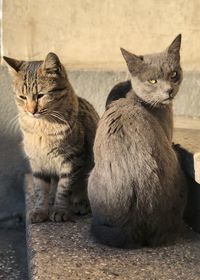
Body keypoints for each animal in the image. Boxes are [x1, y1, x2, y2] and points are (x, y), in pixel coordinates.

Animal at [3, 52, 99, 223]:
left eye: (41, 95)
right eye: (22, 97)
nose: (31, 111)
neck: (41, 128)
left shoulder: (72, 159)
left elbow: (64, 188)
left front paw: (60, 210)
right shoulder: (37, 163)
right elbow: (41, 190)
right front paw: (41, 210)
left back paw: (81, 204)